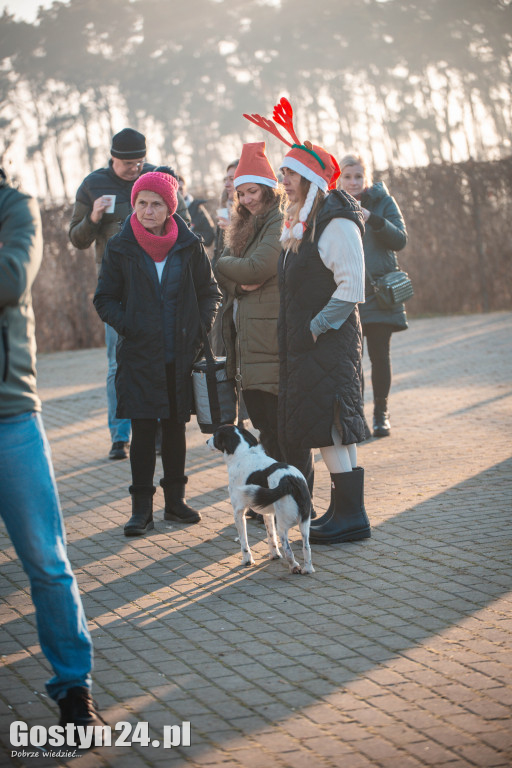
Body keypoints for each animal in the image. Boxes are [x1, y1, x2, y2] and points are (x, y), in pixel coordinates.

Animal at [207, 424, 312, 572]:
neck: (243, 453)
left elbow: (244, 541)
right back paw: (308, 569)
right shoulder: (268, 513)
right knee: (306, 547)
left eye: (214, 435)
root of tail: (289, 480)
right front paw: (274, 555)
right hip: (305, 521)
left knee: (288, 551)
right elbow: (271, 537)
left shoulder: (238, 512)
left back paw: (294, 567)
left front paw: (247, 560)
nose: (206, 441)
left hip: (283, 525)